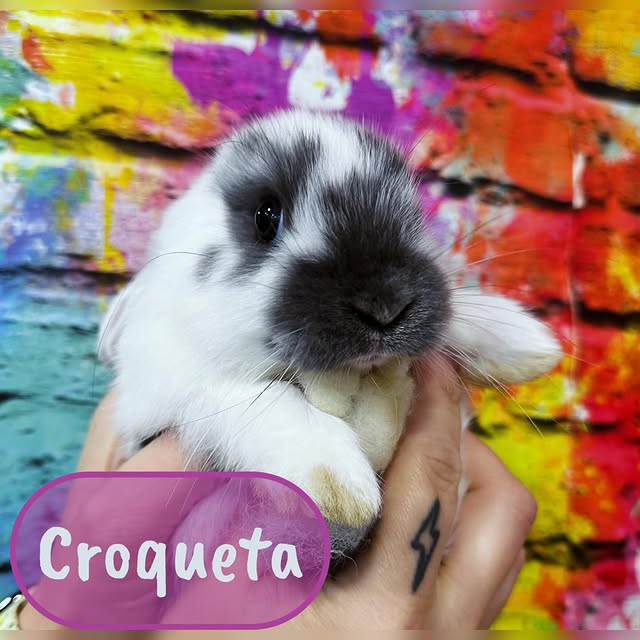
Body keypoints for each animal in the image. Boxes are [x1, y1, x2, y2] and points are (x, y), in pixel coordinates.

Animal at [97, 109, 562, 561]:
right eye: (266, 216)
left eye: (412, 210)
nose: (385, 306)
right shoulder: (170, 393)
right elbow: (253, 395)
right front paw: (340, 485)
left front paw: (522, 339)